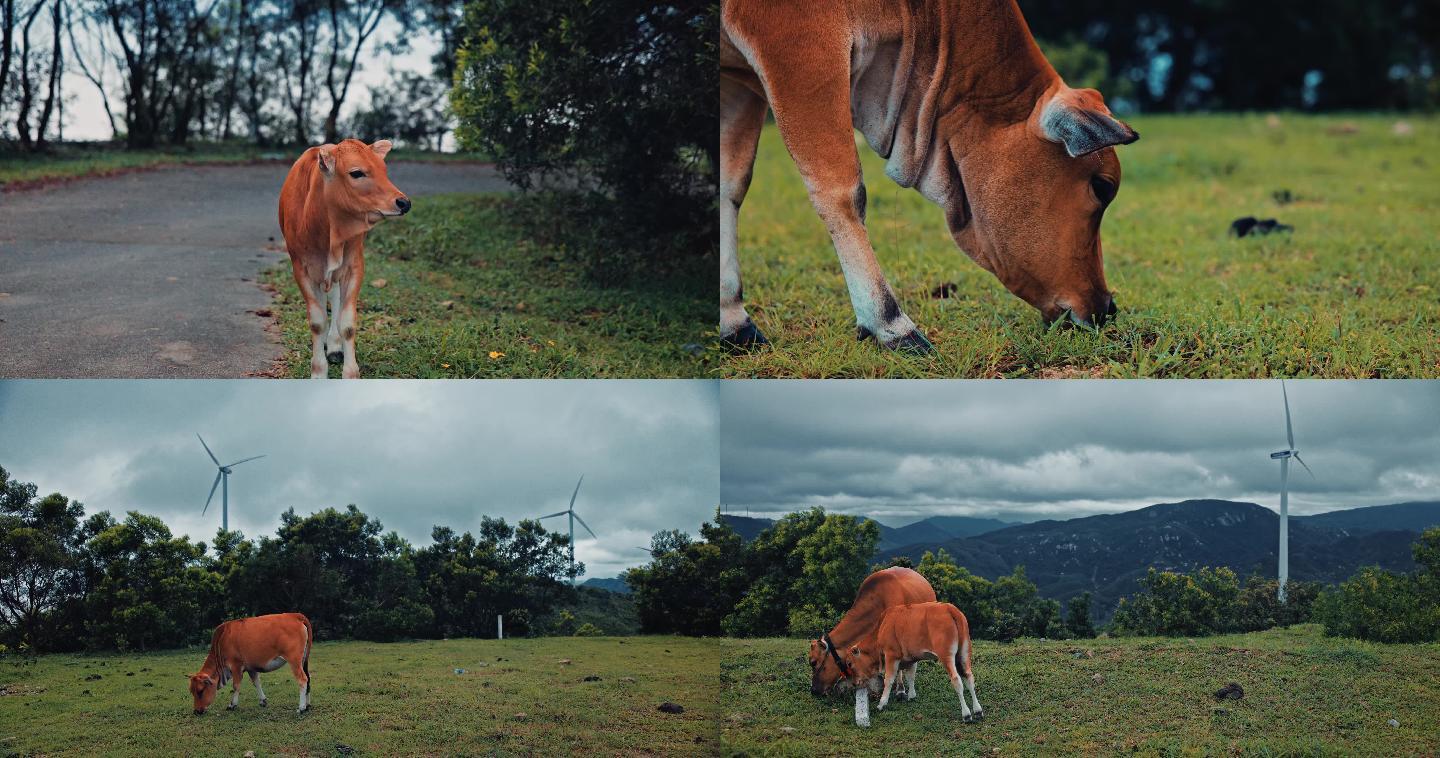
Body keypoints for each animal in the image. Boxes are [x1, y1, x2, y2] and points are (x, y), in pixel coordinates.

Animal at [277, 139, 411, 380]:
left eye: (383, 169)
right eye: (356, 173)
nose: (403, 202)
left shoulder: (354, 266)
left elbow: (347, 324)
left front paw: (350, 373)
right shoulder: (301, 269)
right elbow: (317, 322)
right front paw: (318, 372)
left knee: (336, 298)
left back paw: (334, 346)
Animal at [725, 0, 1140, 350]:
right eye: (1102, 187)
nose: (1107, 307)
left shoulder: (738, 81)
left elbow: (732, 186)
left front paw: (733, 318)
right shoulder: (799, 46)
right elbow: (842, 192)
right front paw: (890, 324)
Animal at [840, 602, 984, 729]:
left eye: (849, 663)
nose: (854, 683)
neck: (882, 627)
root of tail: (949, 608)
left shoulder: (891, 655)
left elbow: (889, 680)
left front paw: (882, 703)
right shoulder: (912, 658)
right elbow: (910, 676)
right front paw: (911, 695)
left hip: (946, 655)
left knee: (957, 680)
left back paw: (966, 714)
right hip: (964, 653)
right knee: (969, 677)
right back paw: (977, 711)